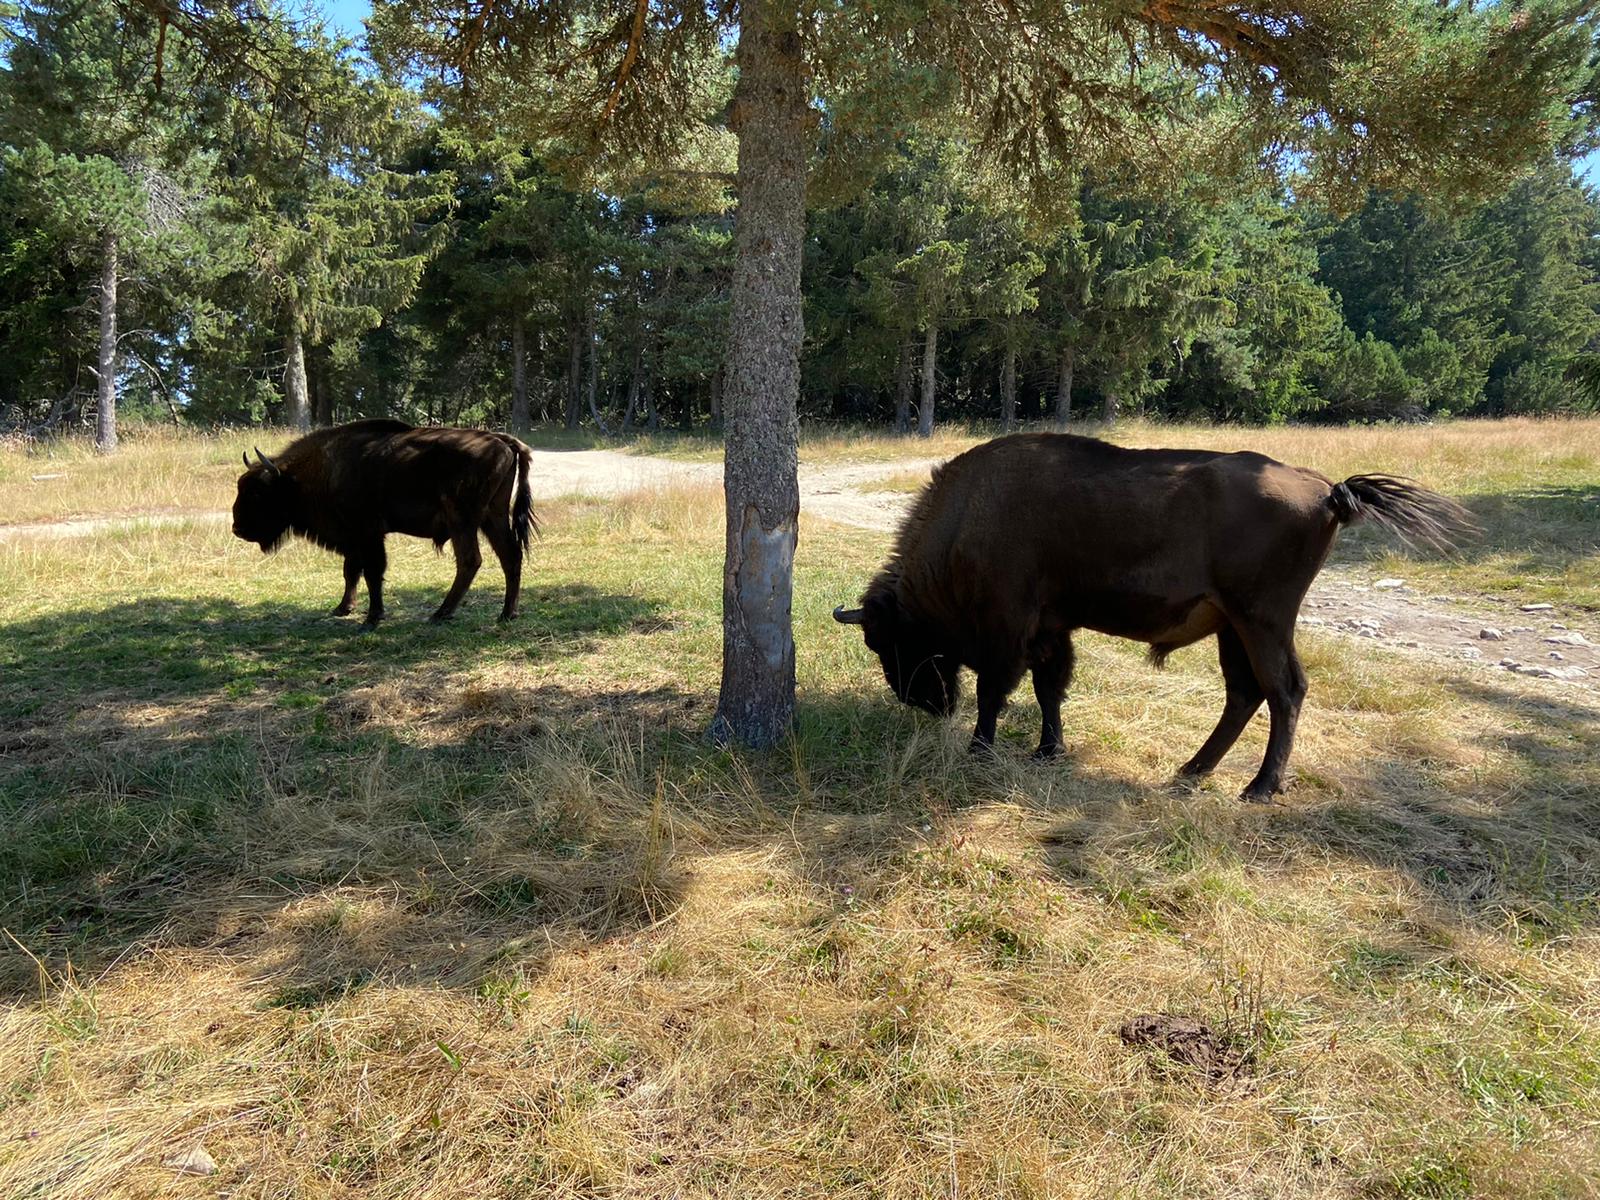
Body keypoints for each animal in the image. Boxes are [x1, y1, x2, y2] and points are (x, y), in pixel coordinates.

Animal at [231, 419, 536, 627]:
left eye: (257, 492)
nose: (237, 528)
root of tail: (502, 441)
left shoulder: (368, 534)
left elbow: (371, 572)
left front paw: (372, 617)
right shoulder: (353, 538)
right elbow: (351, 571)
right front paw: (343, 608)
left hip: (463, 521)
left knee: (470, 561)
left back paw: (440, 614)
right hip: (493, 517)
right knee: (510, 556)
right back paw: (507, 614)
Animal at [832, 433, 1471, 802]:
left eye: (888, 640)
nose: (920, 701)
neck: (970, 516)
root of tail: (1327, 490)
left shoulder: (1007, 627)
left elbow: (997, 690)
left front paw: (980, 749)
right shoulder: (1053, 629)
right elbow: (1048, 689)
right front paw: (1046, 751)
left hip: (1262, 620)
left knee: (1284, 689)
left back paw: (1259, 788)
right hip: (1233, 628)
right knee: (1245, 693)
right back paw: (1191, 771)